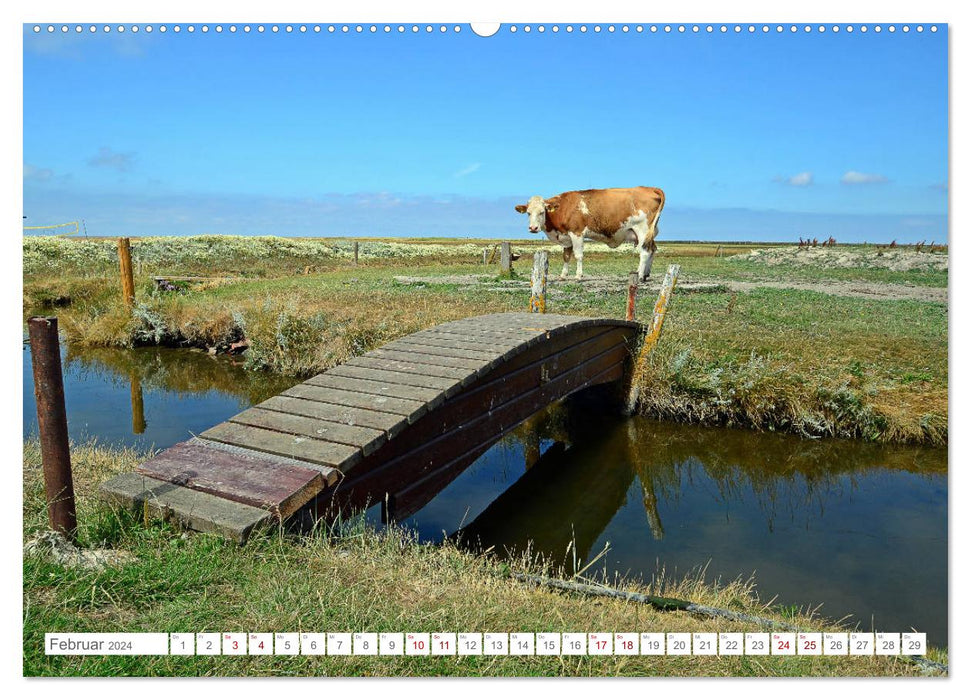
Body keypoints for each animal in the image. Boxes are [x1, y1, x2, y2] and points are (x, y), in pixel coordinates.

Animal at [512, 189, 664, 284]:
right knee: (652, 249)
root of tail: (649, 188)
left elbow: (578, 255)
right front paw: (563, 276)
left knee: (644, 252)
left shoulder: (577, 233)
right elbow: (566, 256)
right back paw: (646, 274)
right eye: (528, 213)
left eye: (542, 212)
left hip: (642, 230)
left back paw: (640, 275)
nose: (533, 228)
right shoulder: (566, 237)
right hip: (650, 232)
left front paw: (578, 276)